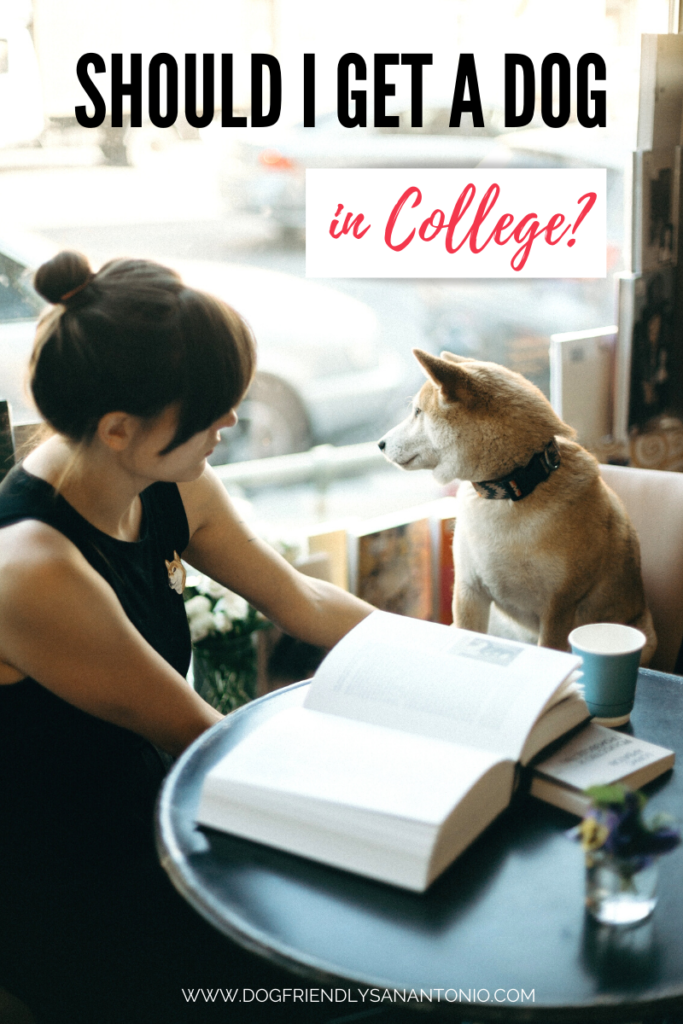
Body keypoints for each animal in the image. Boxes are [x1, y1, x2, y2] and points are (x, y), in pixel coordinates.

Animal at [378, 348, 655, 659]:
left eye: (417, 412)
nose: (380, 444)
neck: (509, 490)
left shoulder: (558, 607)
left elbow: (550, 645)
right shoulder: (468, 591)